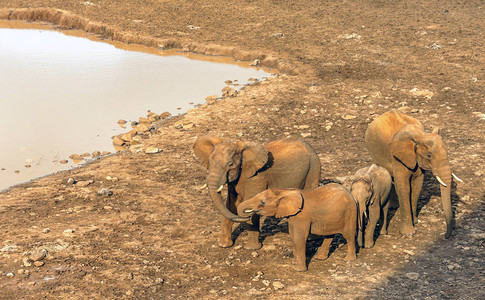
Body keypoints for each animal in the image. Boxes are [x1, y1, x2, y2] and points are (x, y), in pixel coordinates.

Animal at [193, 136, 322, 248]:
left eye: (230, 165)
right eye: (209, 162)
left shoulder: (256, 177)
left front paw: (251, 248)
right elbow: (230, 205)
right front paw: (224, 245)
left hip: (314, 167)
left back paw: (310, 238)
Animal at [364, 109, 462, 238]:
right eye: (429, 155)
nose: (445, 236)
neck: (420, 135)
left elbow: (417, 185)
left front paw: (415, 222)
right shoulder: (397, 156)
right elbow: (404, 187)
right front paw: (408, 233)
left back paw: (394, 206)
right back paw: (393, 207)